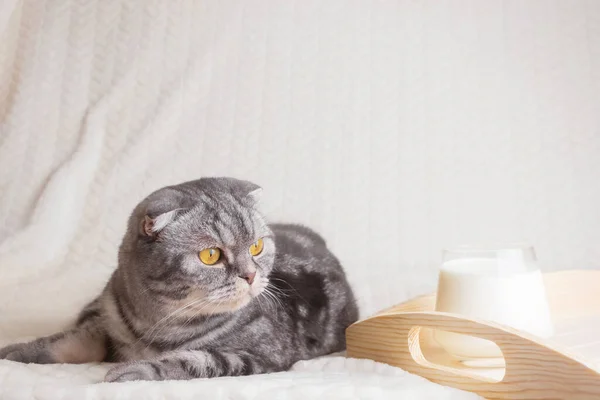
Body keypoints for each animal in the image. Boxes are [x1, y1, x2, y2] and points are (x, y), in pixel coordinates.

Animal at [0, 177, 356, 382]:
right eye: (211, 255)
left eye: (256, 246)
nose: (251, 274)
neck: (156, 325)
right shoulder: (104, 324)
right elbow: (69, 340)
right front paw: (17, 351)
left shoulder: (261, 354)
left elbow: (193, 360)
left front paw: (134, 369)